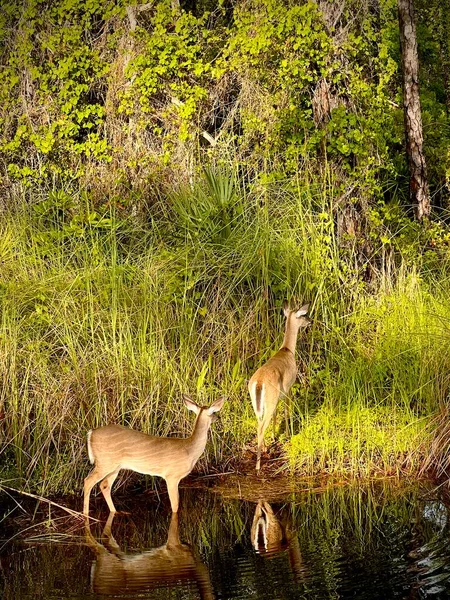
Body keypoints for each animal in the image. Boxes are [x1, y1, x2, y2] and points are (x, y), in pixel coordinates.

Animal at [82, 396, 223, 516]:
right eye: (212, 412)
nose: (218, 417)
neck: (190, 450)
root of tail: (91, 433)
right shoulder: (172, 476)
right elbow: (175, 505)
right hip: (105, 462)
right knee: (88, 481)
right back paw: (85, 514)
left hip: (115, 467)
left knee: (104, 485)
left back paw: (116, 512)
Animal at [246, 302, 310, 472]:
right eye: (303, 315)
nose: (309, 321)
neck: (287, 349)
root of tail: (258, 382)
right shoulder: (288, 387)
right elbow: (287, 410)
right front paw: (288, 434)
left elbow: (276, 414)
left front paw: (275, 435)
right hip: (271, 398)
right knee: (261, 427)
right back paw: (258, 464)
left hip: (259, 402)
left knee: (259, 422)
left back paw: (265, 448)